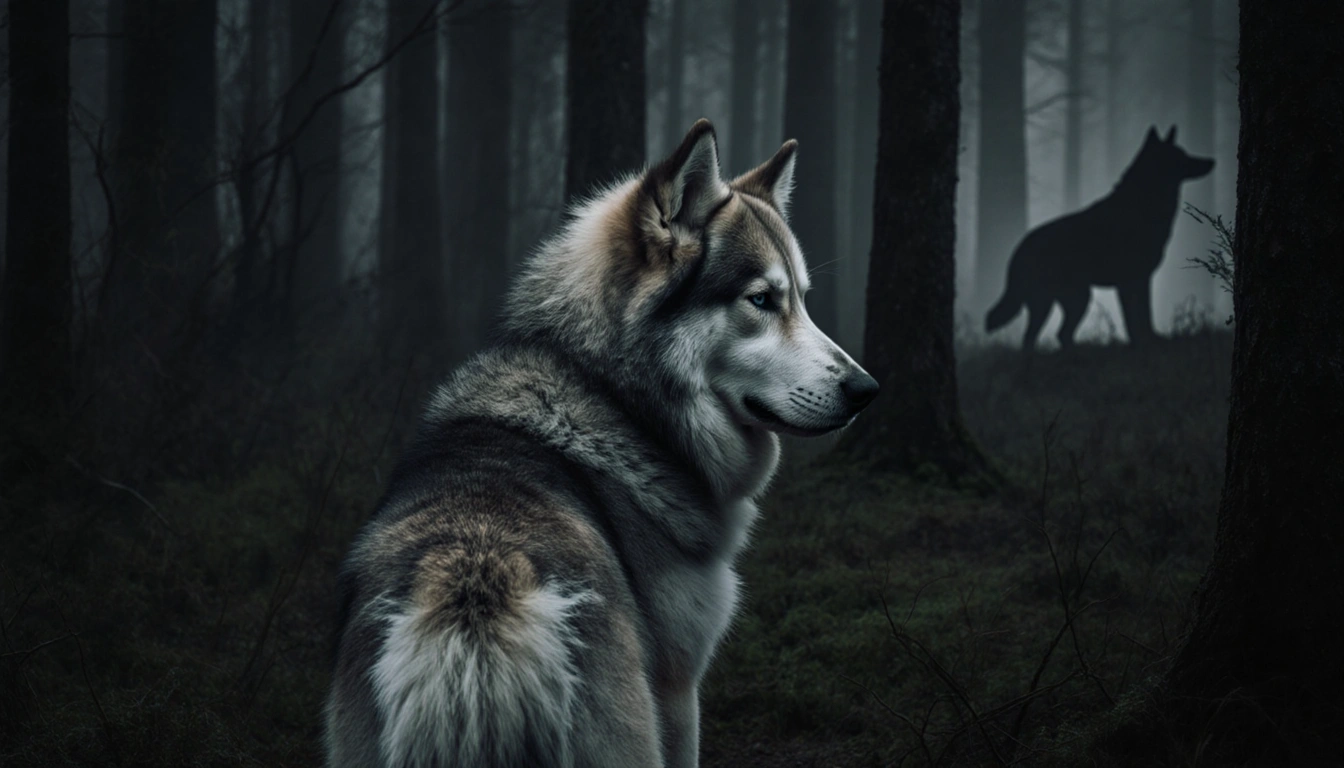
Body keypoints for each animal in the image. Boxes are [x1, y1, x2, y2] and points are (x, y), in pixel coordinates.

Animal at [325, 119, 879, 768]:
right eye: (762, 300)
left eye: (802, 298)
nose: (866, 390)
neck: (617, 401)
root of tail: (474, 613)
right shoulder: (680, 689)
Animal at [984, 125, 1215, 350]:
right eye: (1180, 155)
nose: (1212, 161)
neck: (1141, 205)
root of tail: (1019, 247)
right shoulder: (1129, 282)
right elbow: (1134, 322)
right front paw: (1141, 346)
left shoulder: (1141, 280)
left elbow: (1144, 319)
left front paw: (1151, 341)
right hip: (1071, 299)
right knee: (1043, 337)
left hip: (1067, 300)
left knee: (1051, 336)